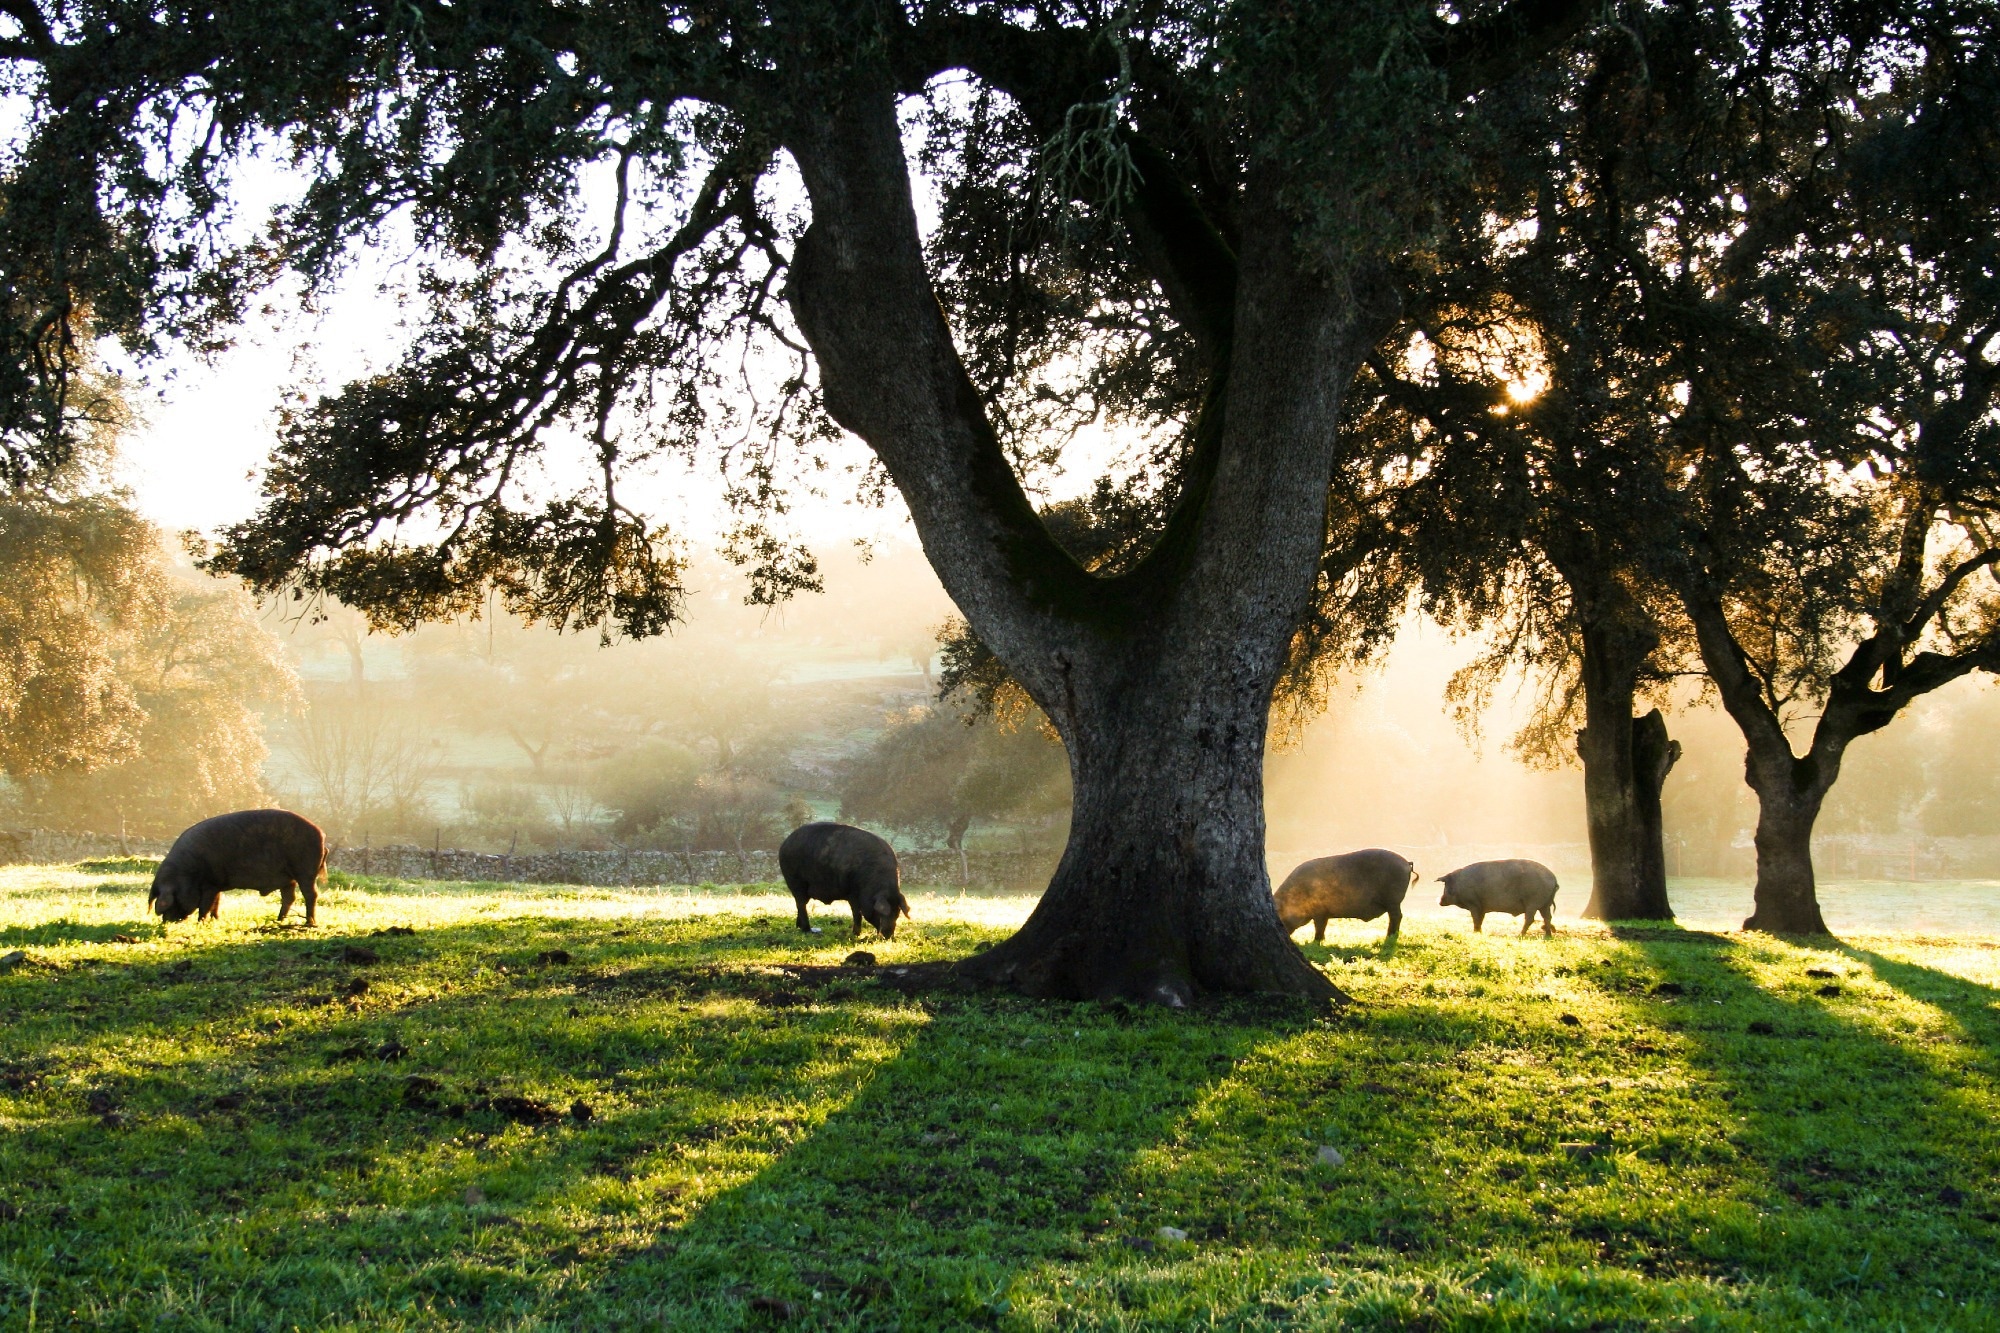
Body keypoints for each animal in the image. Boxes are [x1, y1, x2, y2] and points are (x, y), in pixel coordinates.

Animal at [150, 808, 326, 924]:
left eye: (171, 901)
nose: (166, 922)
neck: (188, 873)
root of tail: (321, 835)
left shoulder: (209, 884)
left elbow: (205, 905)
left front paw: (201, 922)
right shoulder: (217, 885)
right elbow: (216, 902)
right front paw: (216, 920)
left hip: (305, 871)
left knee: (311, 895)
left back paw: (309, 923)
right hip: (288, 878)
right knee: (289, 897)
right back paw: (278, 921)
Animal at [776, 816, 912, 940]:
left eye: (897, 913)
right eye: (882, 913)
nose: (889, 936)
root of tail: (784, 844)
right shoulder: (852, 893)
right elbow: (857, 913)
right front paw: (855, 934)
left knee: (800, 904)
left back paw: (801, 927)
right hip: (795, 880)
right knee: (800, 903)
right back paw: (809, 930)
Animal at [1272, 844, 1416, 940]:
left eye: (1280, 912)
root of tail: (1406, 863)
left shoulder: (1319, 912)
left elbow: (1319, 926)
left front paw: (1317, 941)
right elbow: (1322, 926)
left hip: (1393, 900)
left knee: (1397, 916)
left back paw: (1390, 936)